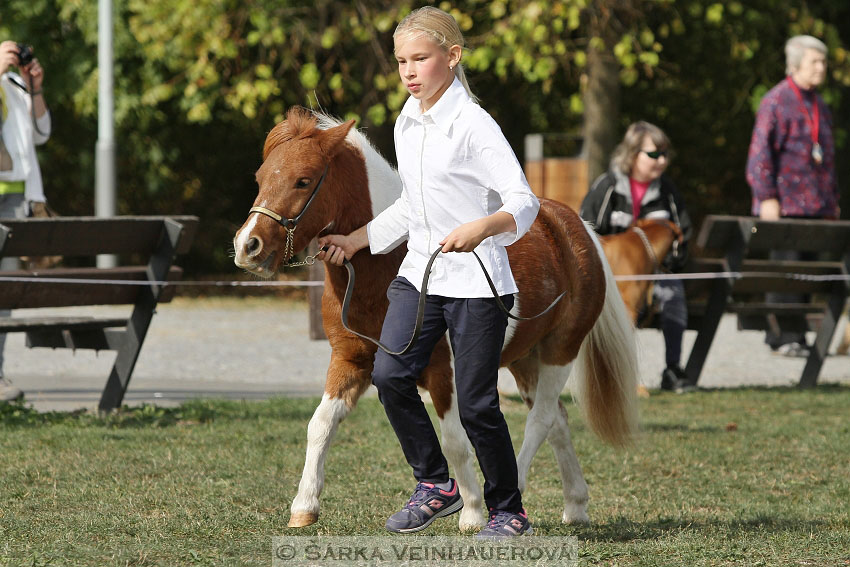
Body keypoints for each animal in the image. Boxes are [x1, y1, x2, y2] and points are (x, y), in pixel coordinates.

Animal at [232, 107, 636, 532]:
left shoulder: (445, 371)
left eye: (303, 180)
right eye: (260, 178)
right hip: (525, 360)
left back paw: (515, 496)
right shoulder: (351, 361)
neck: (384, 270)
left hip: (561, 352)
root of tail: (576, 230)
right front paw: (304, 506)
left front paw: (472, 512)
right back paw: (576, 506)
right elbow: (320, 424)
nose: (248, 246)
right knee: (557, 419)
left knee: (540, 419)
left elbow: (455, 441)